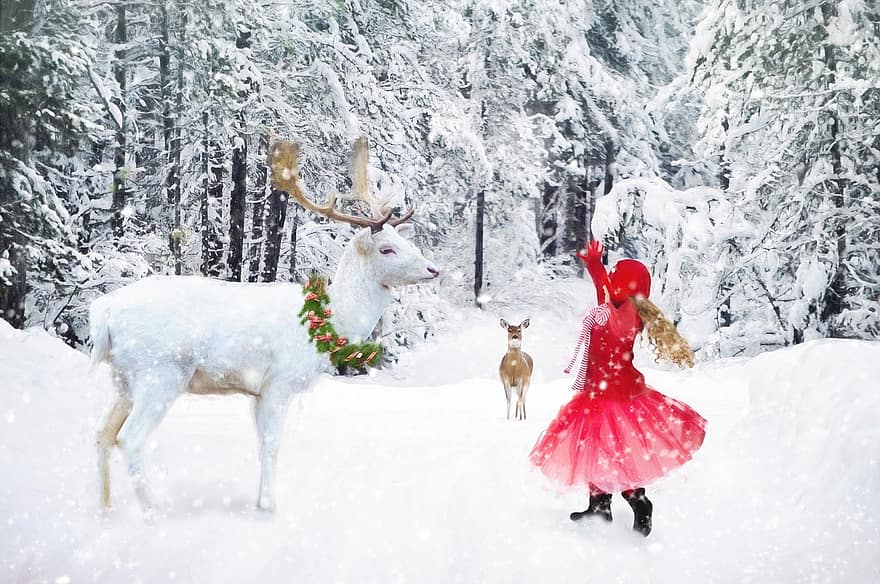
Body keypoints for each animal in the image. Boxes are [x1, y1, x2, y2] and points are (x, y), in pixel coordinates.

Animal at [91, 137, 438, 512]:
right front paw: (268, 505)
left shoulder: (256, 391)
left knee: (102, 434)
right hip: (161, 371)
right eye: (387, 249)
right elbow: (272, 444)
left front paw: (261, 500)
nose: (433, 269)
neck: (331, 320)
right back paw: (152, 508)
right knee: (129, 438)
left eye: (407, 242)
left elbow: (260, 444)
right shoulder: (279, 382)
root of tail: (104, 311)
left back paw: (105, 508)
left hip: (122, 378)